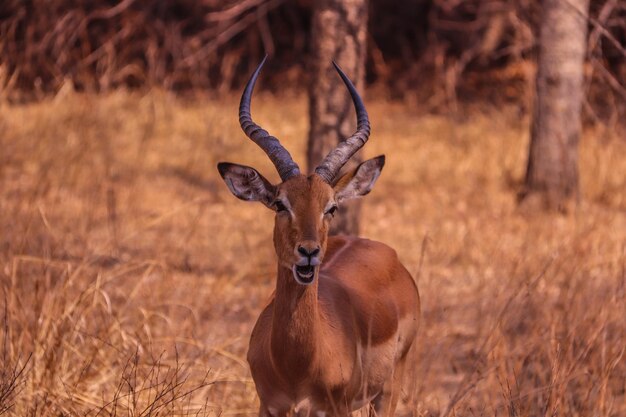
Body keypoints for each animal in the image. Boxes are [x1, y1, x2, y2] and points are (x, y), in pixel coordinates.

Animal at [216, 58, 420, 416]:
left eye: (331, 207)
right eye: (280, 203)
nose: (308, 252)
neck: (296, 365)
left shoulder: (334, 408)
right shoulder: (268, 406)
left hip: (389, 389)